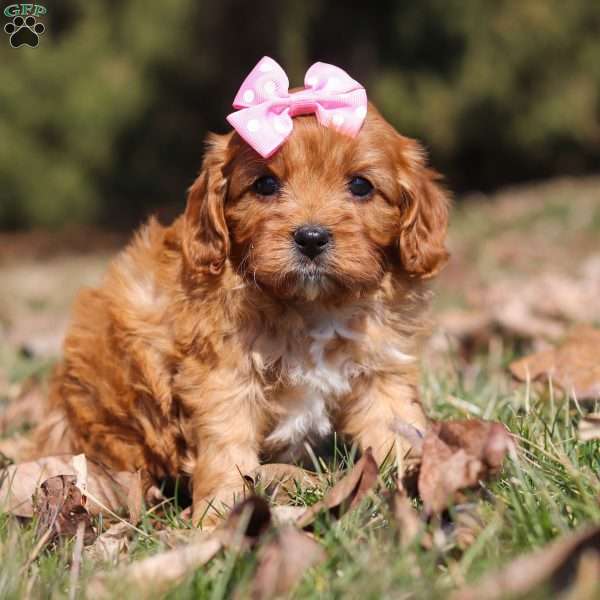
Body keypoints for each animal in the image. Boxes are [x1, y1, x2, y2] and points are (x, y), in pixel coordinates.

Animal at [35, 58, 448, 524]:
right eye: (265, 185)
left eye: (361, 186)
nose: (310, 237)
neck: (313, 306)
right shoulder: (222, 376)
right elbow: (226, 447)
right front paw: (218, 514)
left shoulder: (379, 370)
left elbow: (397, 422)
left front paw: (425, 476)